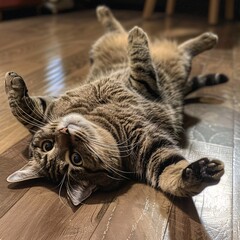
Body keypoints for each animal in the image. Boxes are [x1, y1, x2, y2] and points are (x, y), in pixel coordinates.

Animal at [5, 5, 227, 205]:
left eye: (47, 145)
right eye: (75, 159)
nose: (64, 131)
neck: (98, 118)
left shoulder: (53, 108)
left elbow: (24, 111)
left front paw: (12, 85)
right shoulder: (150, 144)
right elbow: (169, 173)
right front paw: (197, 175)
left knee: (120, 31)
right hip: (178, 65)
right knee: (178, 50)